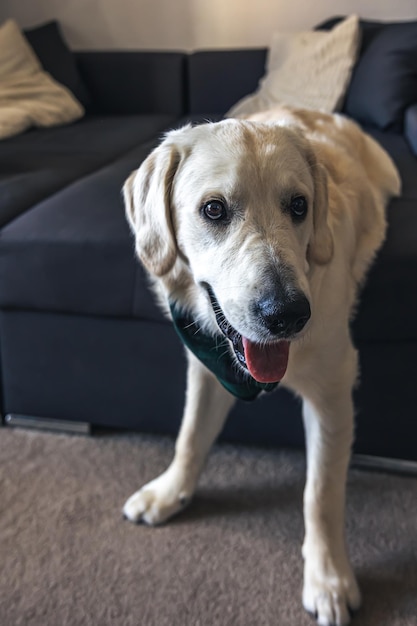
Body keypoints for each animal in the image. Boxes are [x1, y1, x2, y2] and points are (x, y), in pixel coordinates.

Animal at [121, 107, 400, 624]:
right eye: (214, 210)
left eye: (299, 206)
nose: (287, 314)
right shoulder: (206, 366)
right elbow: (190, 435)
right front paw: (170, 492)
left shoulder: (333, 390)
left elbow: (321, 493)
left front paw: (328, 578)